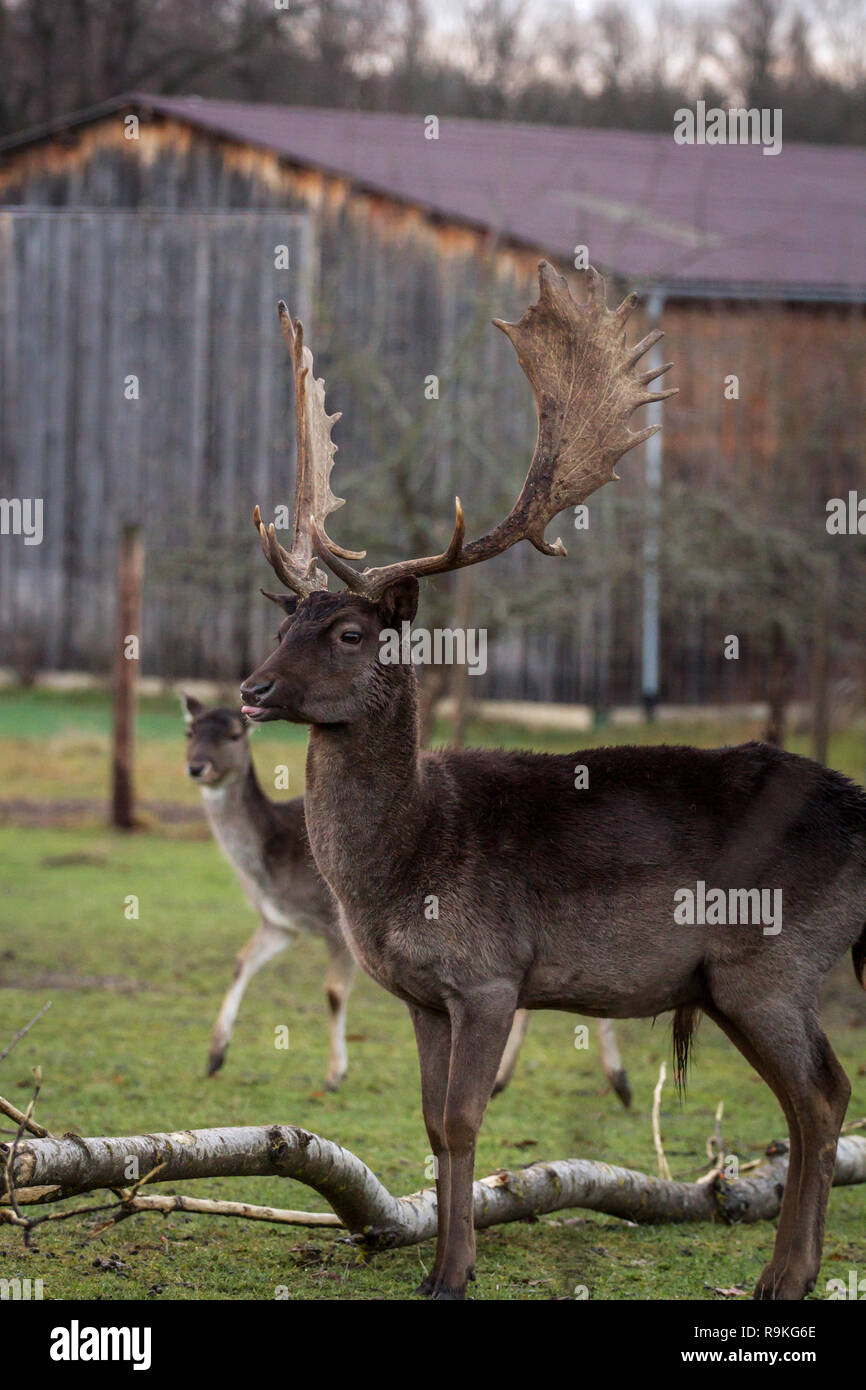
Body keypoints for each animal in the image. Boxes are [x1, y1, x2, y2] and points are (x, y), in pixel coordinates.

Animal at [239, 262, 866, 1301]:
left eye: (351, 632)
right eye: (286, 621)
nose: (251, 690)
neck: (402, 865)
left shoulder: (492, 972)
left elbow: (462, 1121)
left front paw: (453, 1273)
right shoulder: (421, 993)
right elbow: (429, 1124)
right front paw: (438, 1264)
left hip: (772, 959)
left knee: (822, 1094)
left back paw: (785, 1276)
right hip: (737, 981)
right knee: (815, 1097)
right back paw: (793, 1271)